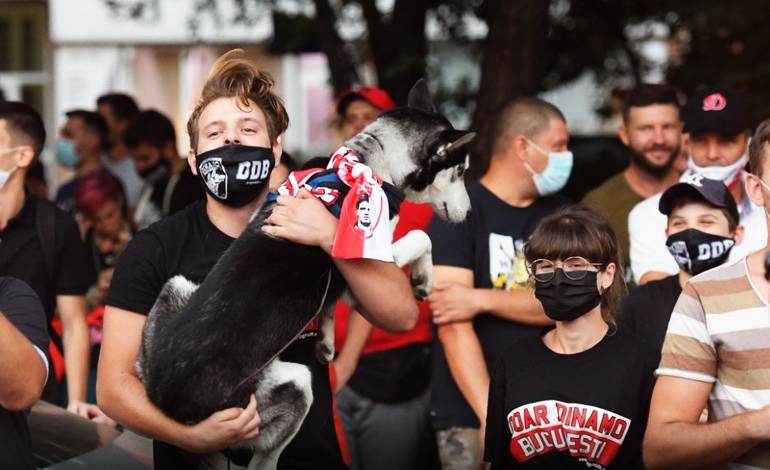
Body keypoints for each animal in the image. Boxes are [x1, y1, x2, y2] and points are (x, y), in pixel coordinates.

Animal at [137, 79, 472, 468]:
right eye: (461, 171)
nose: (469, 212)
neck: (366, 164)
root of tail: (170, 402)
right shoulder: (371, 259)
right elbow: (422, 236)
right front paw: (423, 280)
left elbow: (328, 303)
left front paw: (326, 340)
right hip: (293, 388)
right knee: (264, 460)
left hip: (175, 289)